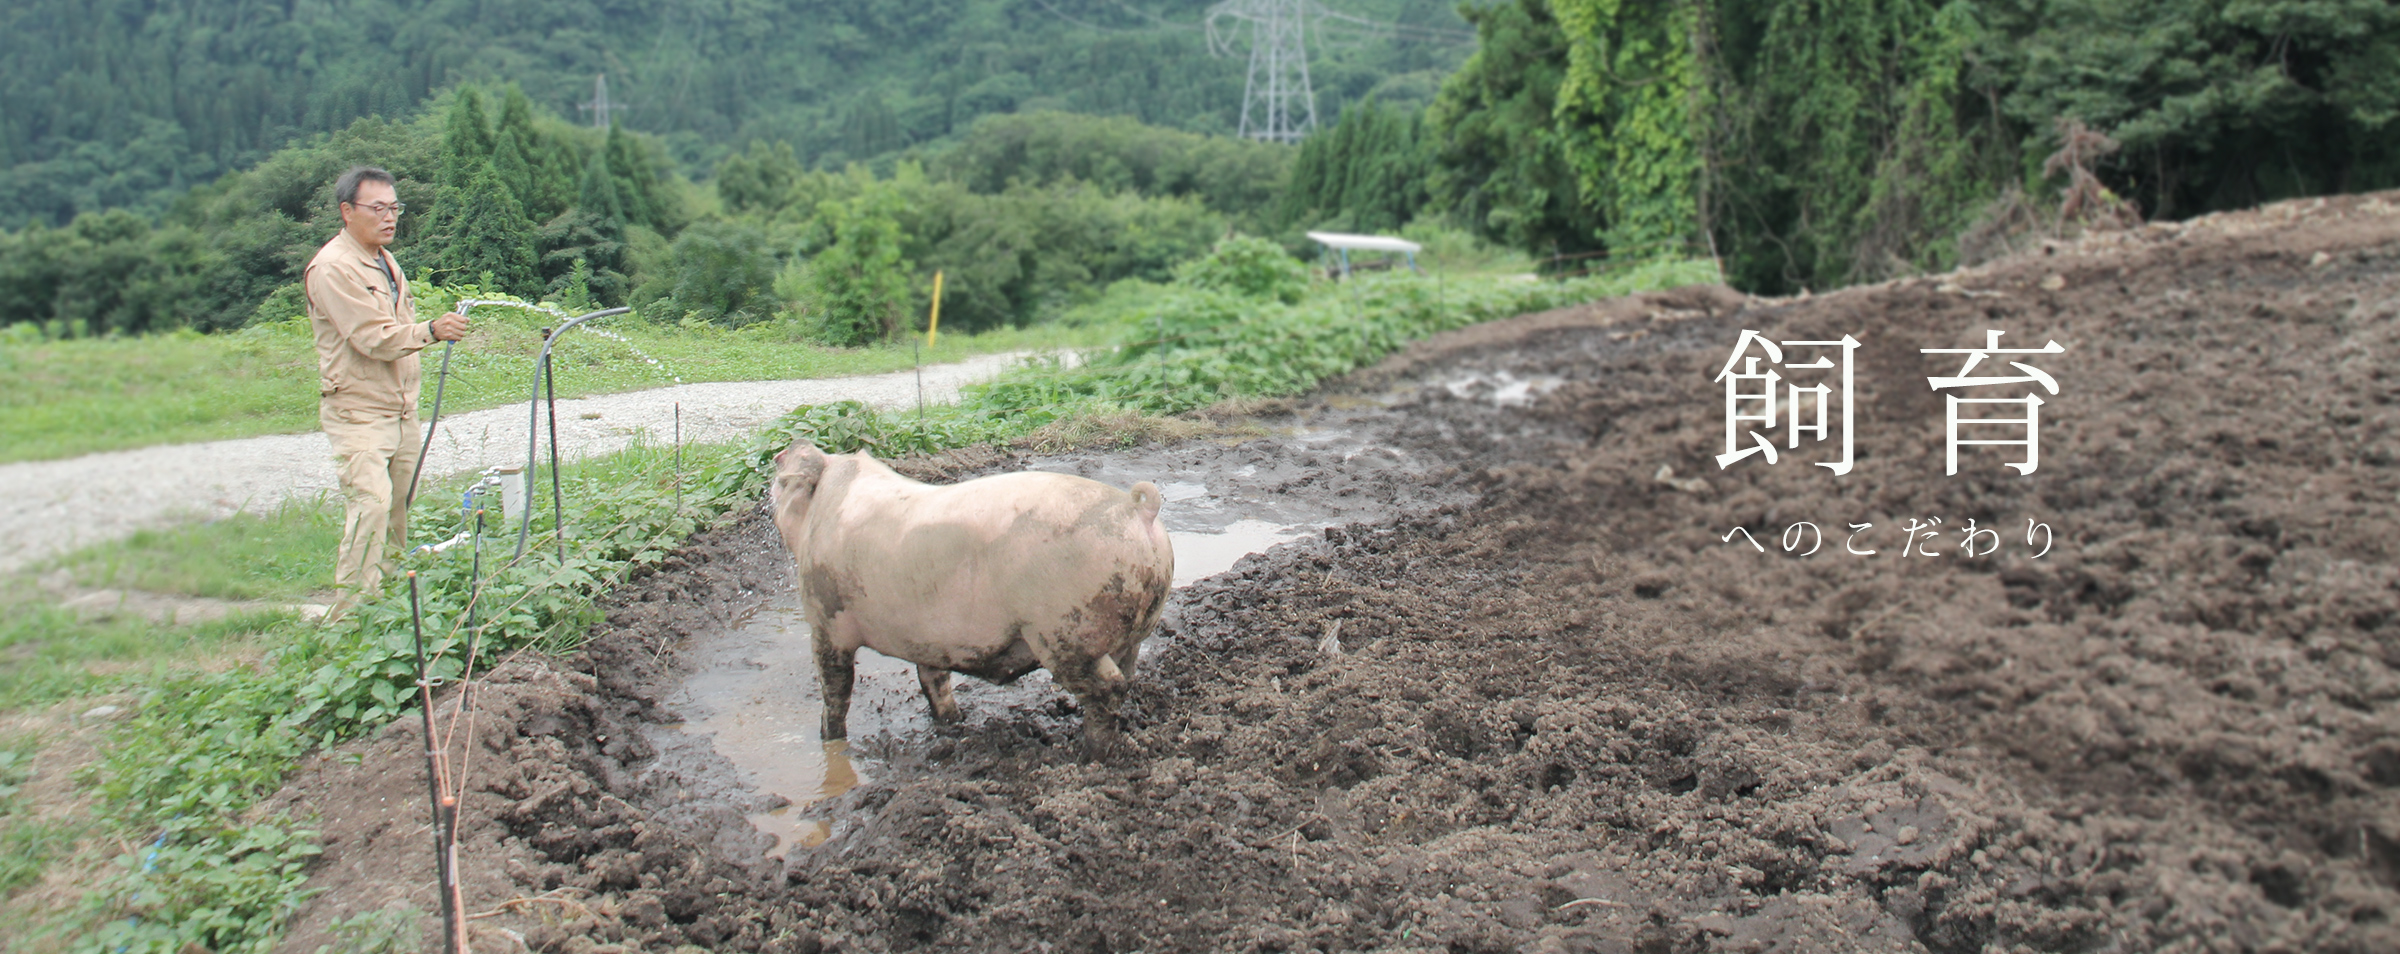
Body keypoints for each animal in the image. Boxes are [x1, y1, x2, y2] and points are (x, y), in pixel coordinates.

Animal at [772, 438, 1176, 743]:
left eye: (781, 480)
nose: (789, 445)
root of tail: (1137, 510)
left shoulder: (826, 619)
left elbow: (835, 691)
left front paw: (828, 739)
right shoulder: (927, 635)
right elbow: (933, 681)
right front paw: (950, 724)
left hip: (1065, 632)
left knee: (1108, 689)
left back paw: (1089, 753)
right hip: (1129, 631)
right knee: (1127, 674)